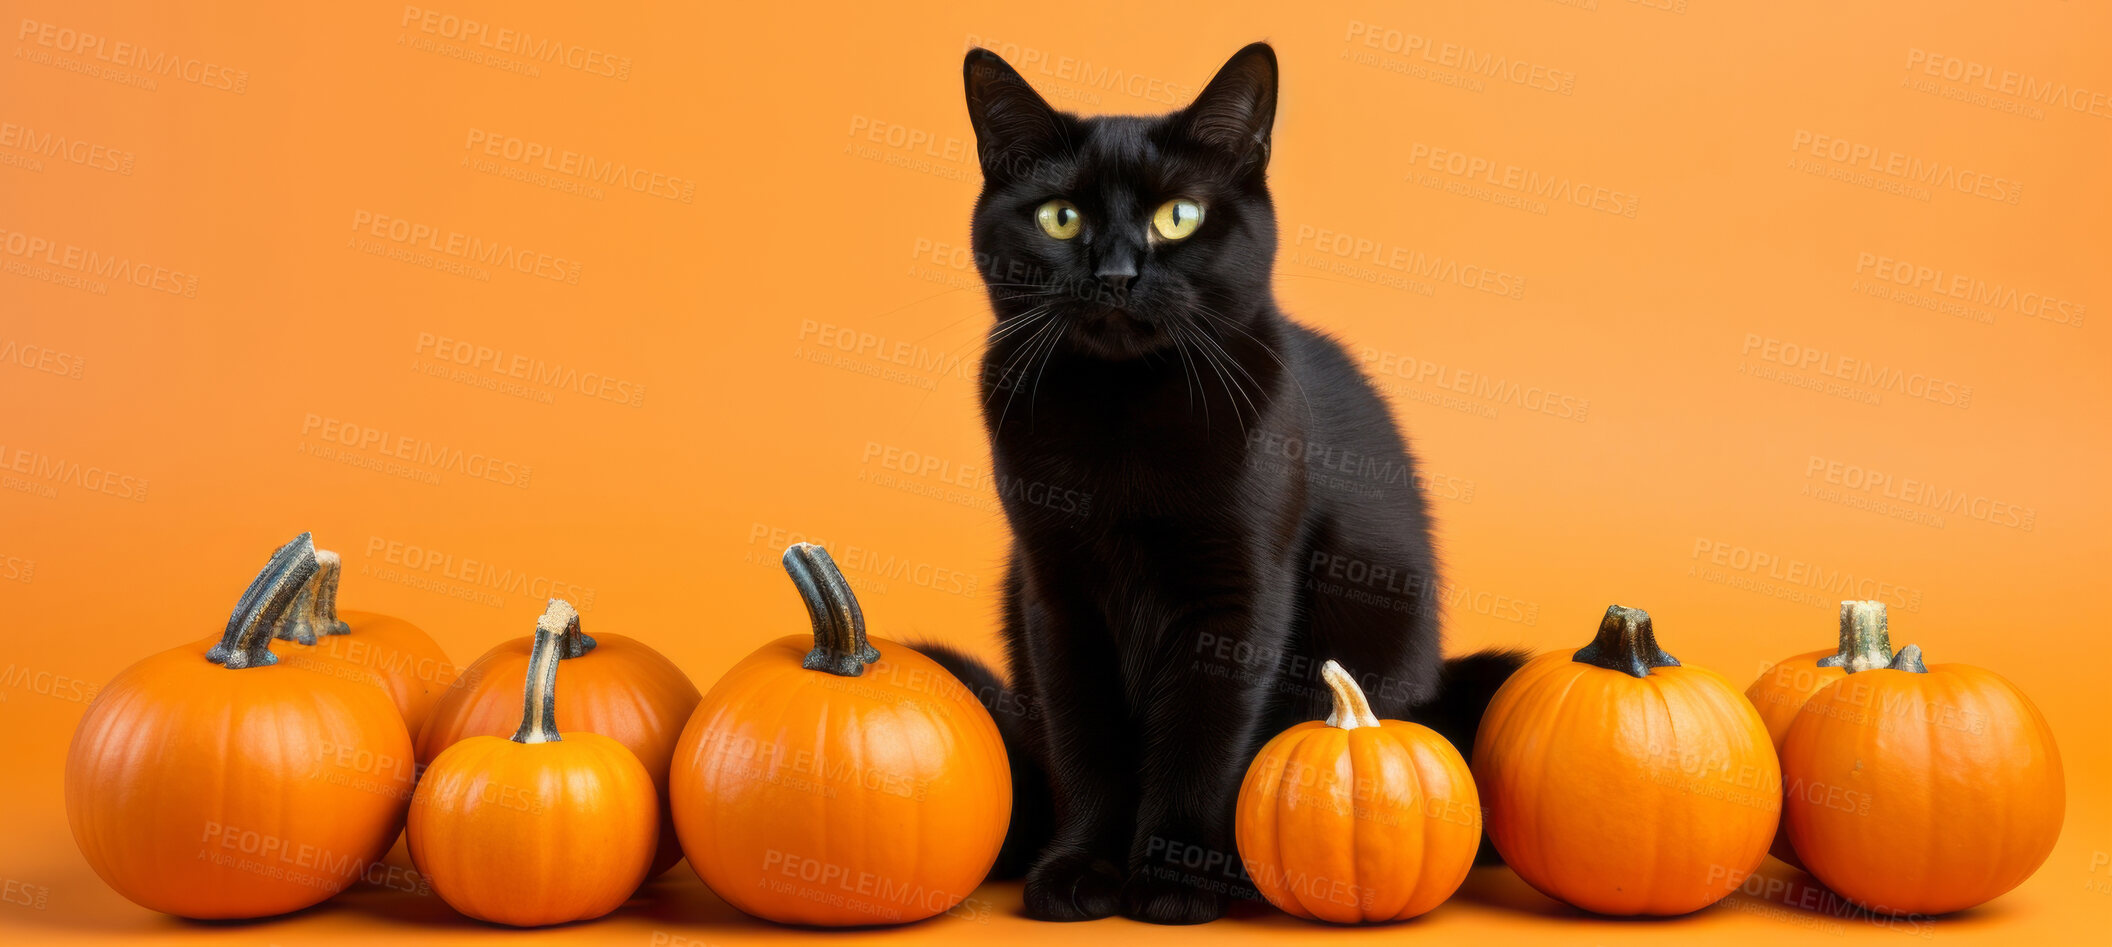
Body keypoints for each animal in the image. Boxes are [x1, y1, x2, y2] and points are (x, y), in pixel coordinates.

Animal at [925, 44, 1520, 925]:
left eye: (1179, 217)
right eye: (1060, 217)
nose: (1116, 273)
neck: (1122, 412)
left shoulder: (1236, 594)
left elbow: (1203, 735)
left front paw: (1176, 876)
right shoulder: (1055, 593)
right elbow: (1085, 740)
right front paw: (1079, 867)